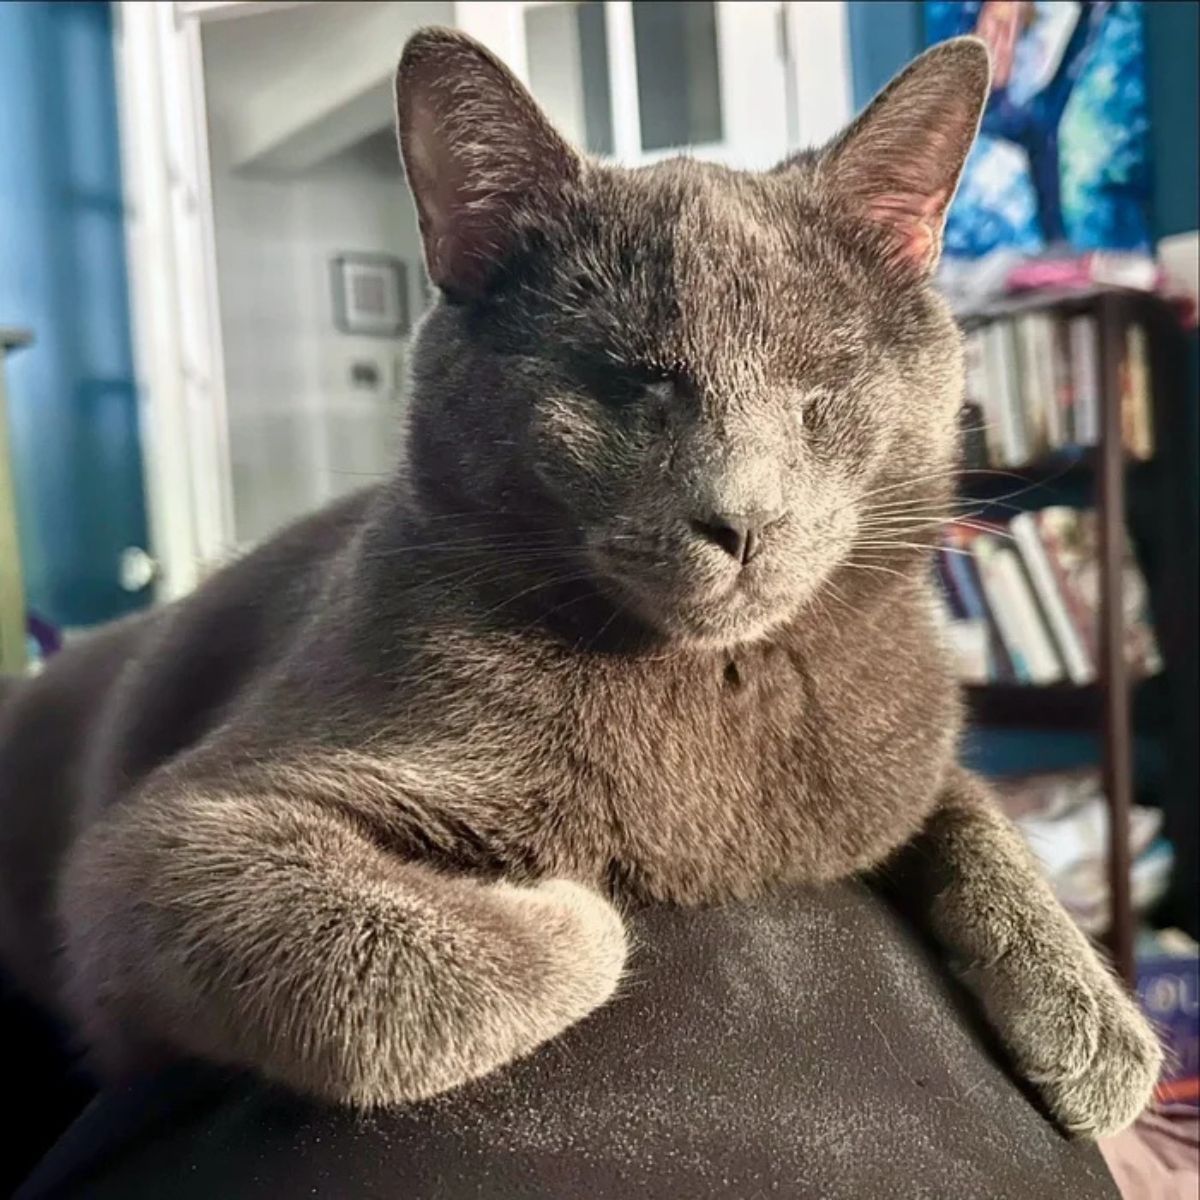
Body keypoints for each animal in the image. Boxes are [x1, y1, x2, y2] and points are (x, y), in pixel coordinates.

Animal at [2, 28, 1161, 1132]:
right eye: (626, 383)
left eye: (822, 387)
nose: (743, 518)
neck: (716, 685)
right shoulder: (167, 837)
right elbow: (362, 965)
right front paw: (580, 911)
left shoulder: (898, 752)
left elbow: (966, 808)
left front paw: (1093, 1020)